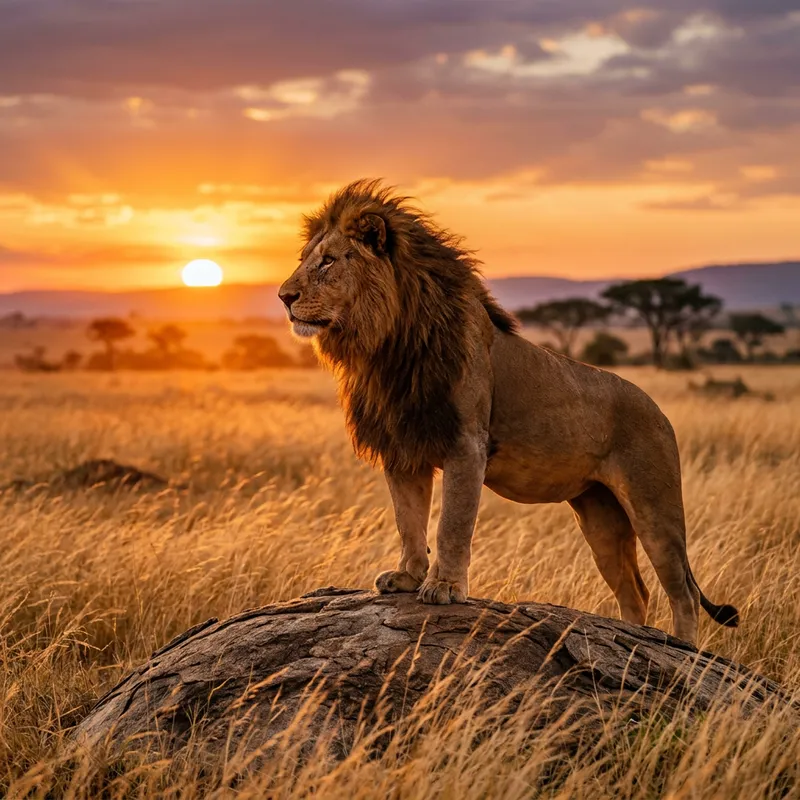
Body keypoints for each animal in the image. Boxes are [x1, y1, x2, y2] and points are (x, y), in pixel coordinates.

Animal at [278, 180, 739, 645]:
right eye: (305, 259)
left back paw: (681, 647)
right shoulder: (403, 447)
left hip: (654, 507)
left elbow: (451, 524)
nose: (283, 297)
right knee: (635, 590)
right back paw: (627, 639)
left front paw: (444, 588)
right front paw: (407, 577)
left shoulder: (466, 444)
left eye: (328, 261)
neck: (387, 344)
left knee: (682, 591)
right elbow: (408, 519)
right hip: (600, 515)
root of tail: (659, 412)